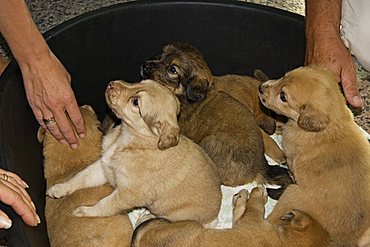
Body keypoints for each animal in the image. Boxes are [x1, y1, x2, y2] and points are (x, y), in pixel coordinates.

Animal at [45, 80, 221, 227]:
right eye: (140, 81)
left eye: (136, 102)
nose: (111, 83)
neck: (127, 140)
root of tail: (214, 217)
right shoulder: (103, 167)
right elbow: (80, 177)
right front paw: (59, 188)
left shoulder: (126, 194)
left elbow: (104, 205)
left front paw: (84, 212)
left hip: (176, 214)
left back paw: (146, 217)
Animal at [132, 187, 328, 247]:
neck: (286, 240)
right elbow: (243, 209)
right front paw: (242, 197)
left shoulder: (252, 220)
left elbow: (253, 206)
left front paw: (254, 194)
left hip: (191, 225)